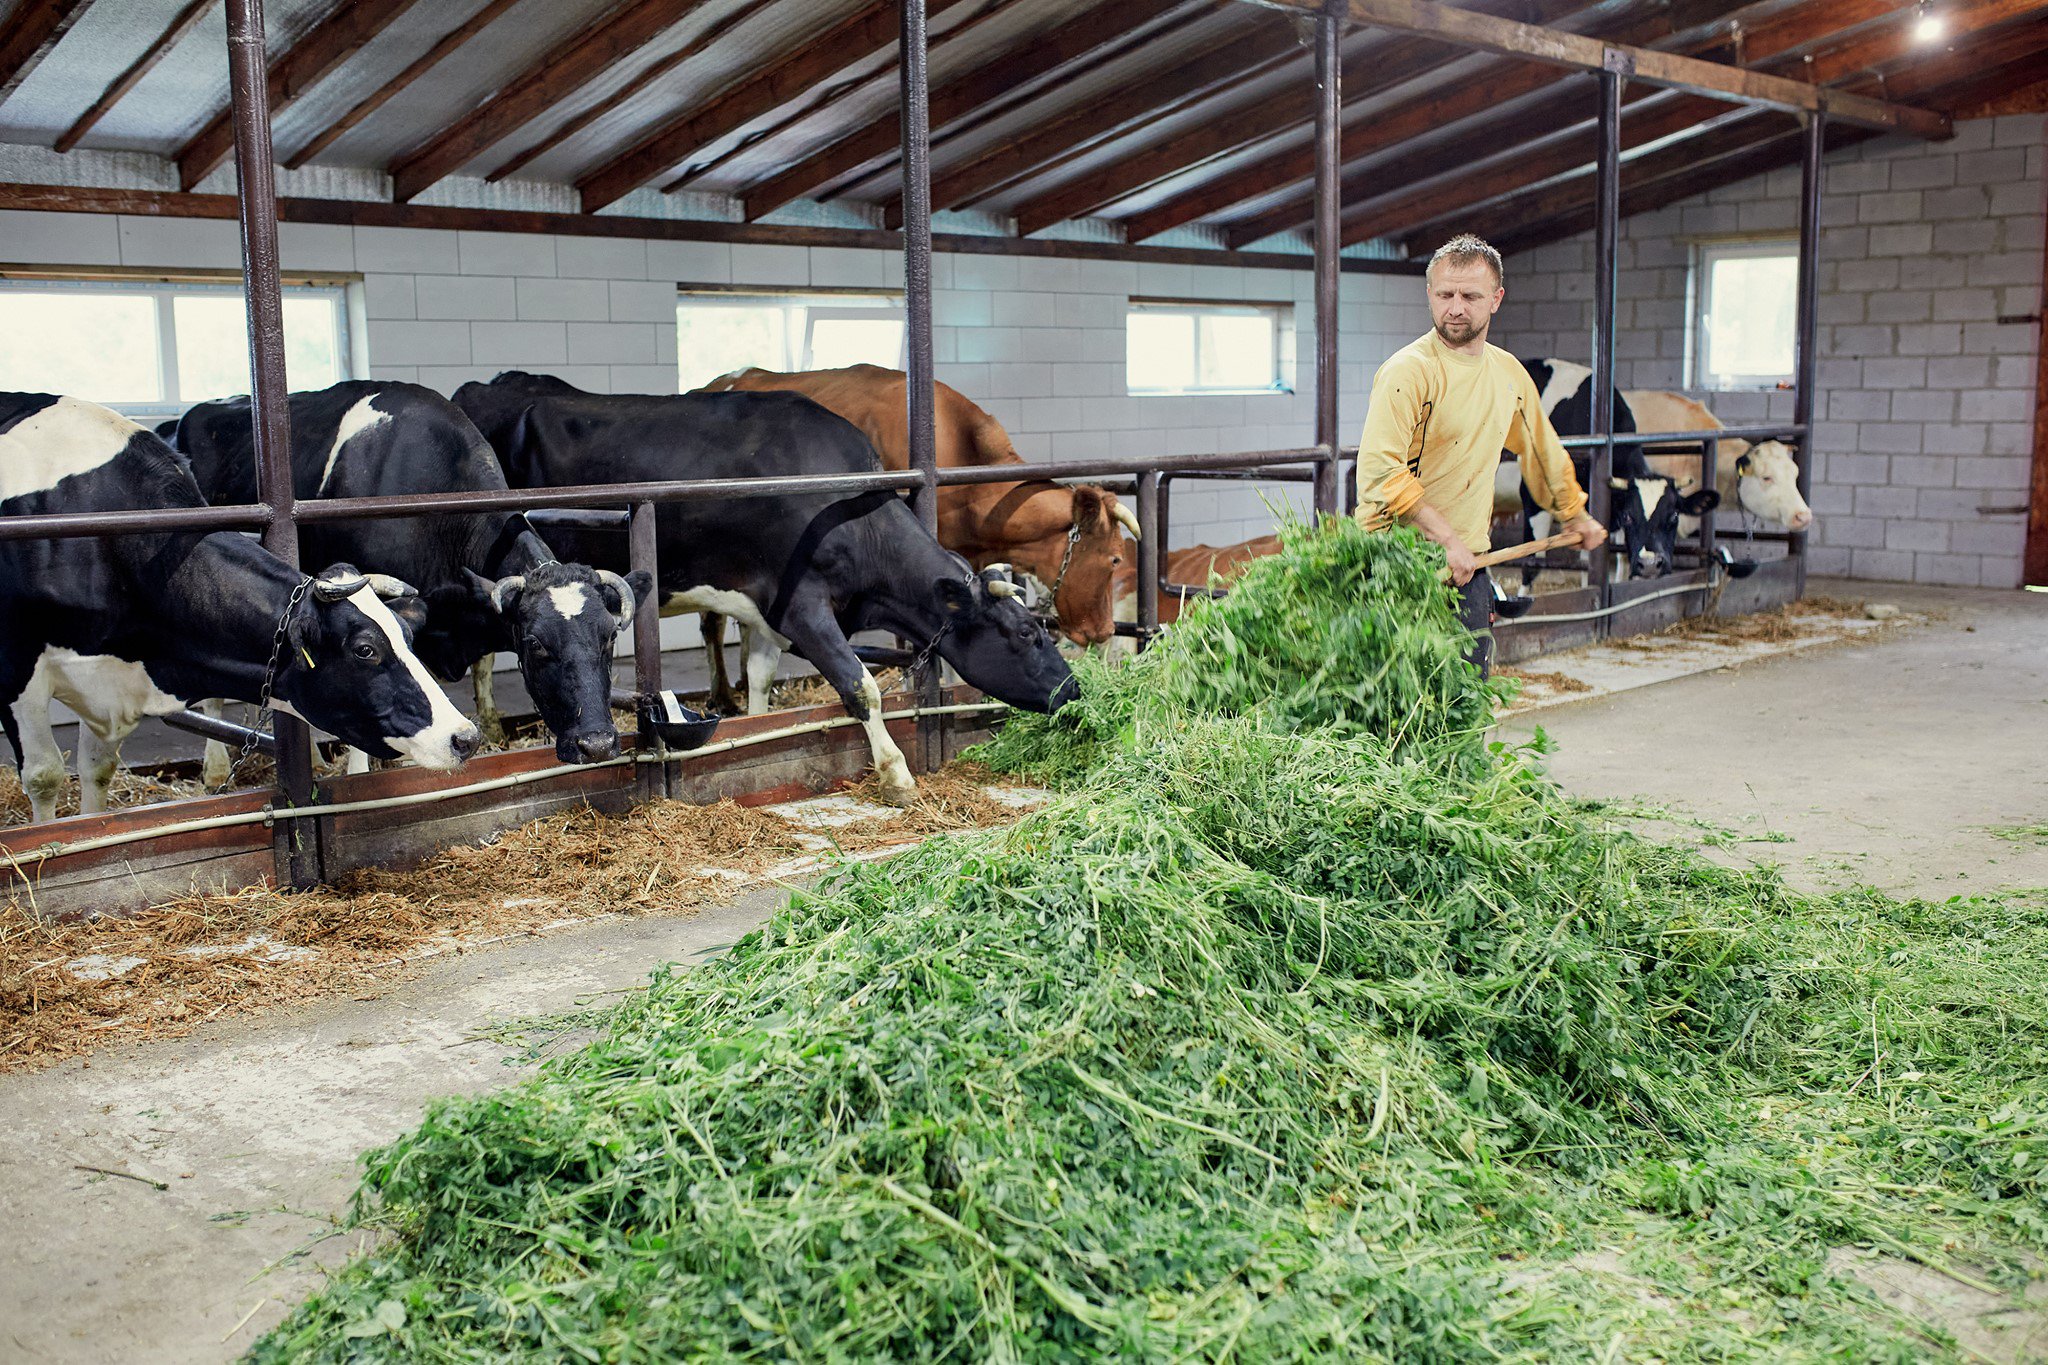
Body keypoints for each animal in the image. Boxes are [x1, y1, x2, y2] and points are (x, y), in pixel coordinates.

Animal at [6, 394, 475, 822]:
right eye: (365, 650)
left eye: (408, 637)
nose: (465, 737)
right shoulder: (18, 671)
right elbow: (44, 776)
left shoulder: (109, 685)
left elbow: (97, 772)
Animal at [454, 368, 1081, 806]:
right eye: (1027, 635)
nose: (1075, 691)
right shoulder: (803, 607)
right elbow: (861, 686)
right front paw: (897, 775)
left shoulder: (768, 611)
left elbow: (759, 680)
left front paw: (753, 730)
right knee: (484, 646)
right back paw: (491, 726)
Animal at [1523, 358, 1712, 581]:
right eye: (1629, 516)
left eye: (1674, 516)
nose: (1650, 565)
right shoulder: (1530, 495)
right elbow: (1531, 563)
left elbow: (1603, 560)